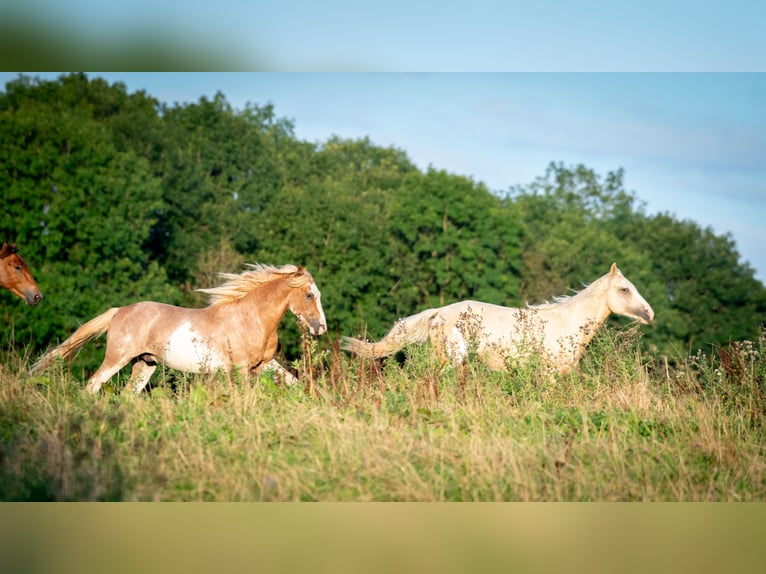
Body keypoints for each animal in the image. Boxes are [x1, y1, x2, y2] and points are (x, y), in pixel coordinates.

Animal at [31, 264, 327, 394]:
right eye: (309, 295)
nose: (320, 328)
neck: (251, 318)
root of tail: (120, 311)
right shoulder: (241, 369)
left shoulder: (263, 365)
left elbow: (294, 382)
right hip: (118, 357)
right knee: (94, 383)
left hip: (145, 364)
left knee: (129, 394)